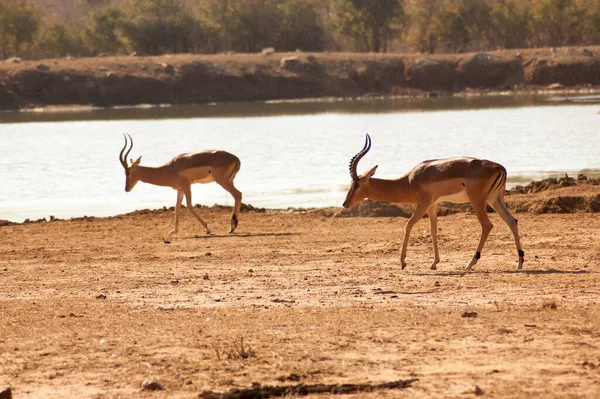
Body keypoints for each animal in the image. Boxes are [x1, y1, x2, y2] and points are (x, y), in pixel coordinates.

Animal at [342, 135, 524, 272]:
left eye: (356, 184)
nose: (345, 203)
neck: (408, 182)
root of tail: (500, 168)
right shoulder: (433, 205)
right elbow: (433, 230)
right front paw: (434, 263)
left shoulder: (423, 204)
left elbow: (408, 225)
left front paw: (403, 262)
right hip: (495, 199)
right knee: (512, 220)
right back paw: (519, 263)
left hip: (477, 201)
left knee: (487, 225)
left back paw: (470, 263)